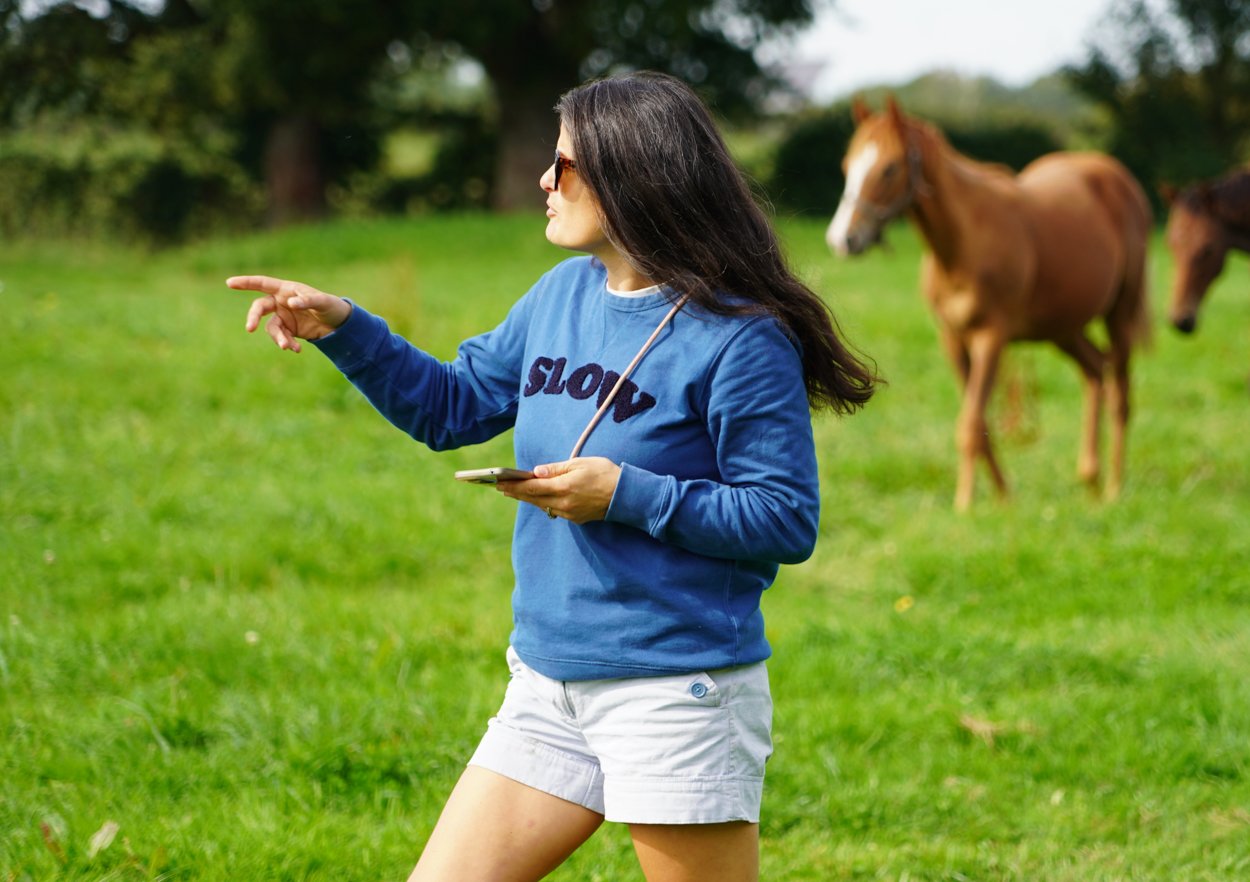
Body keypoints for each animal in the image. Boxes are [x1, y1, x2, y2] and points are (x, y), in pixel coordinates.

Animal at [827, 97, 1152, 511]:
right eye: (847, 166)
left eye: (889, 167)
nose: (843, 239)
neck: (965, 241)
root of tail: (1115, 176)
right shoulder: (952, 339)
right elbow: (978, 421)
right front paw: (1002, 495)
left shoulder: (991, 337)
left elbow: (970, 423)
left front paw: (965, 504)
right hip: (1062, 328)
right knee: (1096, 371)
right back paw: (1089, 478)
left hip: (1119, 312)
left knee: (1121, 395)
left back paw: (1113, 486)